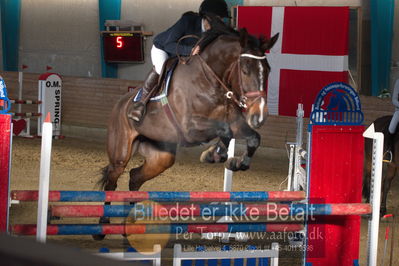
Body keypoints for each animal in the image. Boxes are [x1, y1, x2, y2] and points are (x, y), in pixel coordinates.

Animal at [95, 27, 280, 239]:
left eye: (268, 70)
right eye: (245, 70)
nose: (259, 116)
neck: (210, 80)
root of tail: (120, 104)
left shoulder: (234, 122)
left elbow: (253, 138)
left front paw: (233, 161)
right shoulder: (190, 127)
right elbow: (224, 130)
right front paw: (214, 153)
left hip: (161, 157)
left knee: (134, 177)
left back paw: (129, 225)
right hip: (120, 153)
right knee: (112, 181)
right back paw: (102, 226)